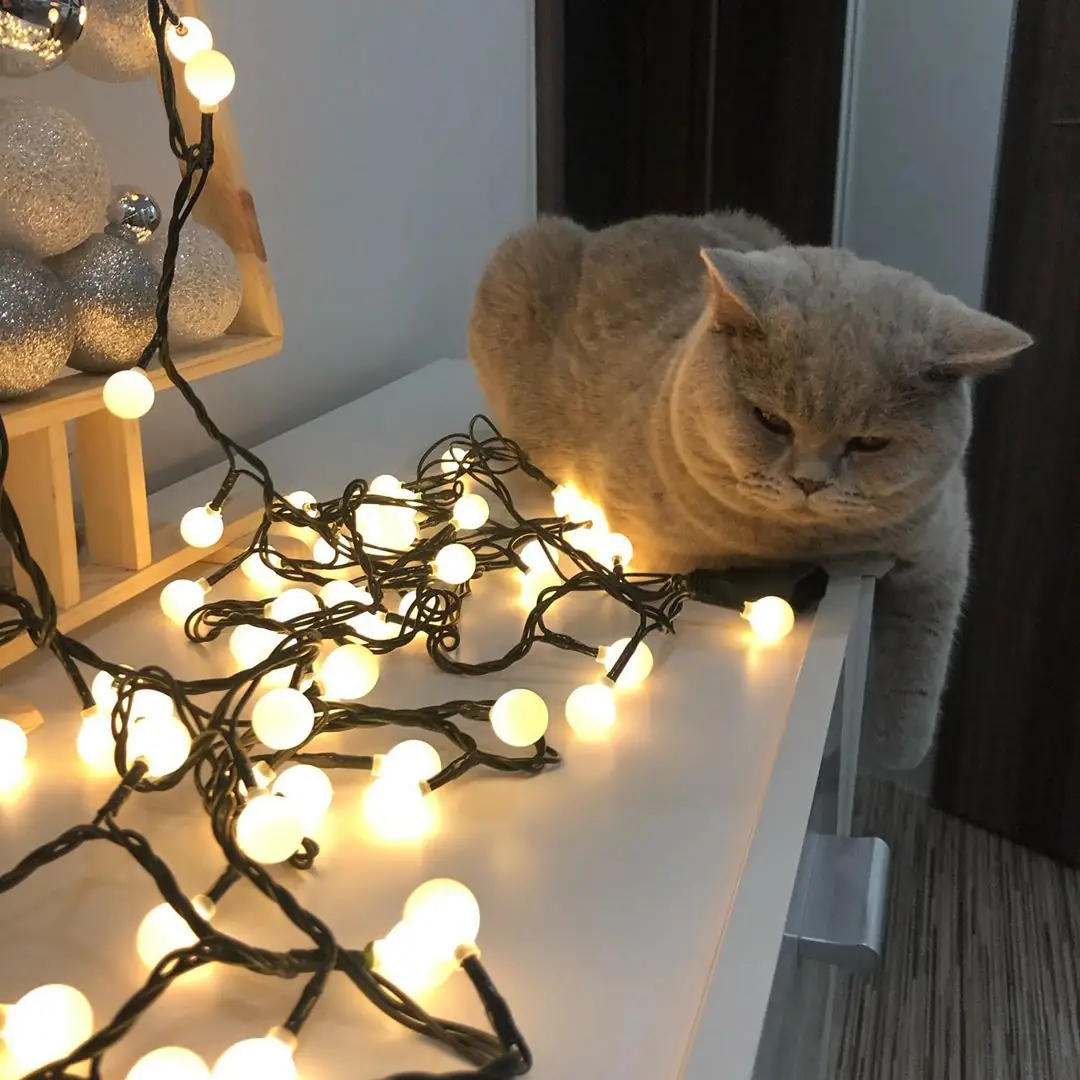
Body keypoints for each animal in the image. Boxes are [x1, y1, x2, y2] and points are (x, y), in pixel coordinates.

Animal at [467, 211, 1033, 771]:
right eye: (771, 421)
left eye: (869, 442)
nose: (810, 480)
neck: (810, 547)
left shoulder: (942, 548)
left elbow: (916, 665)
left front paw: (889, 754)